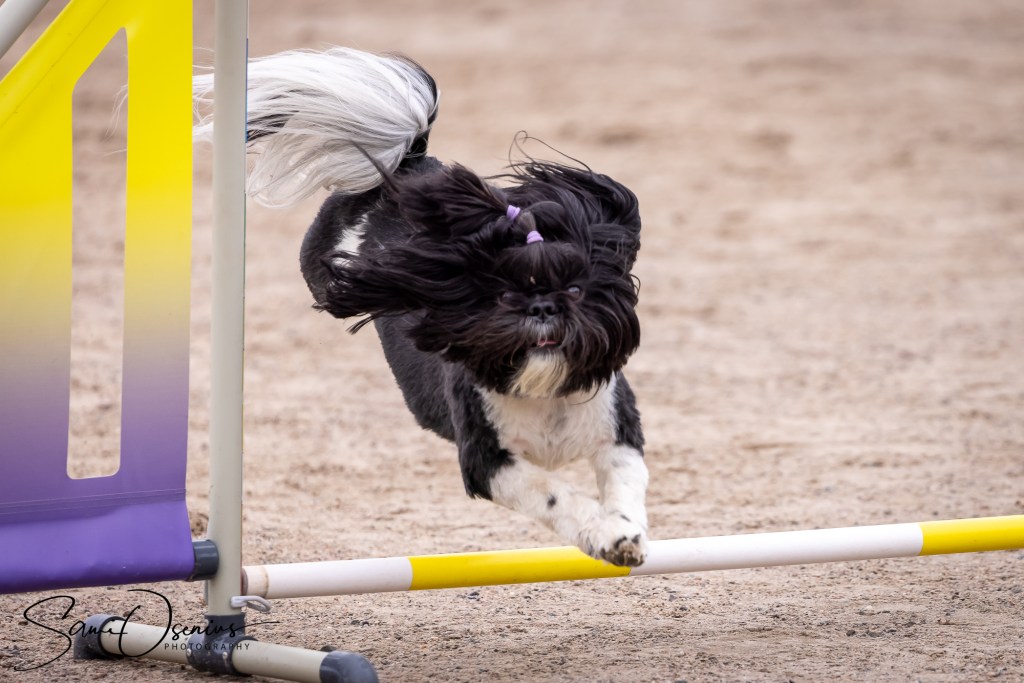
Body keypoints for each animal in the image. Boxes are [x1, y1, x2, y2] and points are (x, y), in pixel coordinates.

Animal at [194, 48, 649, 567]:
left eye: (575, 290)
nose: (542, 307)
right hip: (322, 272)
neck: (542, 392)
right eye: (502, 295)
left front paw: (624, 532)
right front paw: (603, 532)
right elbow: (553, 493)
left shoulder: (618, 430)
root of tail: (406, 169)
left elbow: (625, 483)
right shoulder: (488, 462)